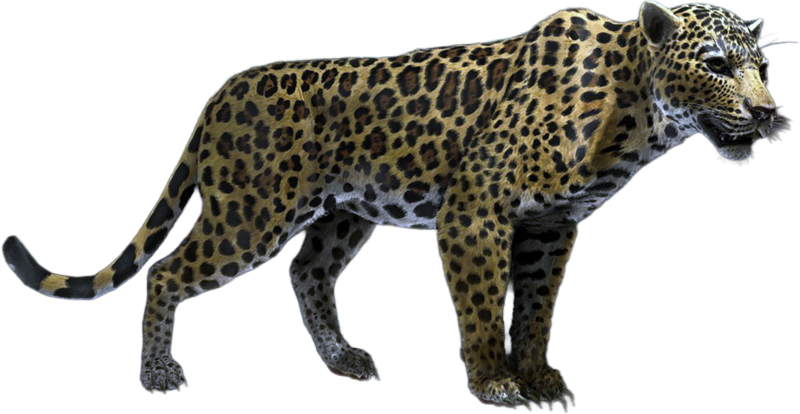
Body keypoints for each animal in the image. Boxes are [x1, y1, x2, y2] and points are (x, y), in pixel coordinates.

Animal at [1, 1, 794, 410]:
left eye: (762, 66)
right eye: (717, 65)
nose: (767, 112)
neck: (635, 114)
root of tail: (224, 91)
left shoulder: (550, 225)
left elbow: (536, 307)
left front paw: (539, 376)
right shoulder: (476, 210)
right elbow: (483, 304)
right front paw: (496, 382)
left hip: (342, 212)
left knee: (307, 273)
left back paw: (344, 358)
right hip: (248, 212)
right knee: (169, 272)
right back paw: (160, 374)